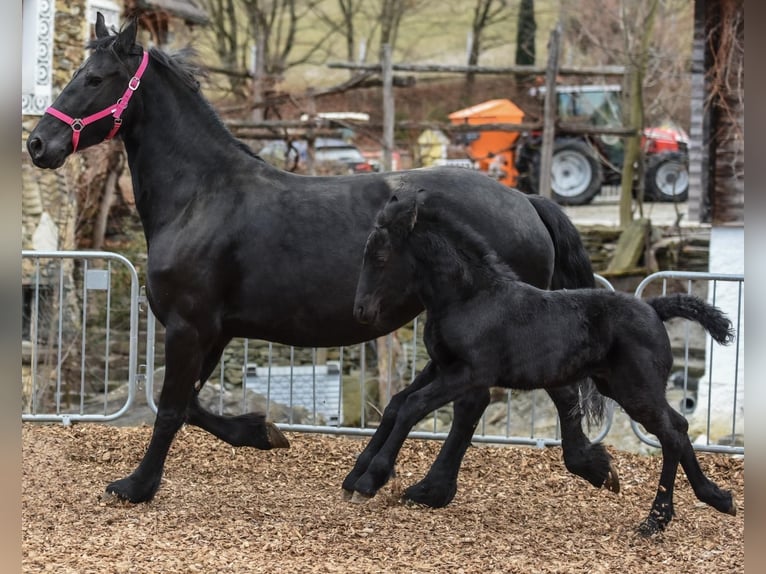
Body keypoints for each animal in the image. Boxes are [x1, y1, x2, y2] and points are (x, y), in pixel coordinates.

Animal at [27, 14, 617, 505]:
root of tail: (528, 201)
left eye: (95, 78)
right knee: (444, 396)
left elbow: (171, 408)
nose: (38, 144)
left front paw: (137, 486)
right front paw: (261, 432)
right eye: (77, 72)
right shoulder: (214, 330)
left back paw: (441, 487)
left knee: (476, 401)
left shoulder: (187, 325)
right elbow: (190, 403)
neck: (200, 197)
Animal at [350, 191, 737, 534]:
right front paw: (358, 475)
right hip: (621, 386)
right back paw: (715, 498)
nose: (361, 311)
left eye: (380, 256)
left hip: (636, 389)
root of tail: (654, 309)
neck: (468, 298)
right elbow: (397, 403)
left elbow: (412, 406)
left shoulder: (469, 372)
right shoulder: (441, 366)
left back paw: (656, 520)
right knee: (679, 428)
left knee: (671, 434)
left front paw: (371, 479)